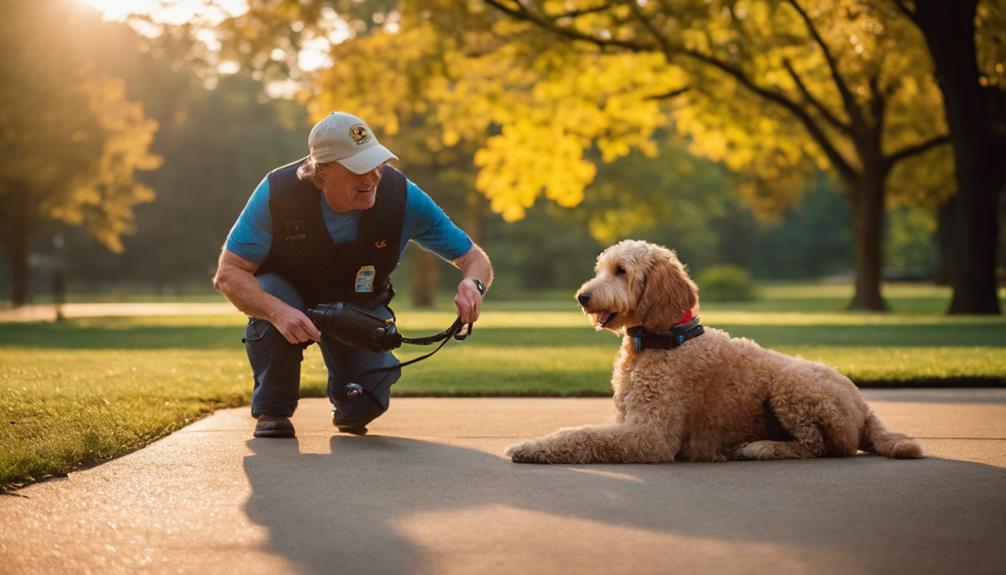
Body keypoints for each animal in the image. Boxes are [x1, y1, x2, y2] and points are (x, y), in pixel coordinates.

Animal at [507, 240, 921, 464]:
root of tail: (864, 406)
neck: (665, 339)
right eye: (602, 268)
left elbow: (582, 437)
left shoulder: (651, 435)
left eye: (621, 271)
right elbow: (585, 433)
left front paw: (531, 446)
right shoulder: (630, 420)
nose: (582, 296)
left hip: (792, 388)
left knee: (823, 445)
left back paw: (760, 448)